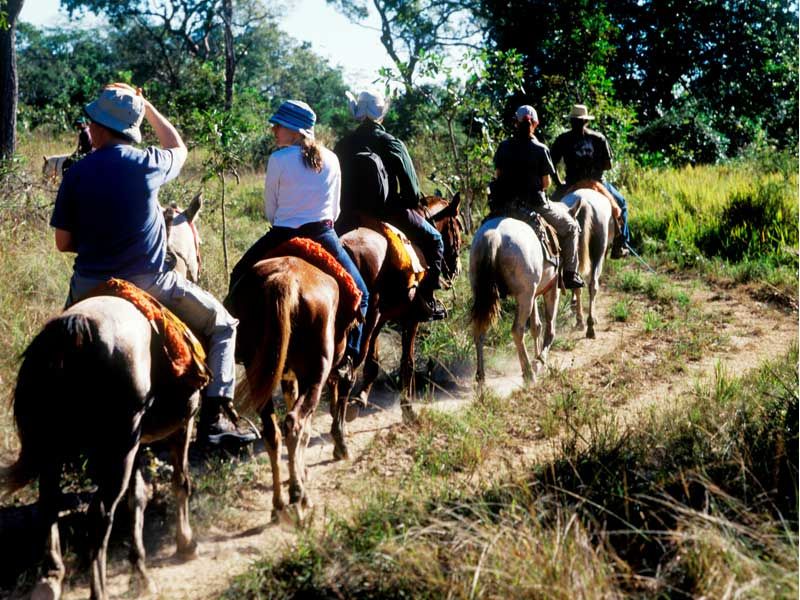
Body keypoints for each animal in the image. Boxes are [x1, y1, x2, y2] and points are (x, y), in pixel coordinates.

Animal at [1, 200, 206, 600]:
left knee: (49, 504)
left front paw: (140, 572)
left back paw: (51, 577)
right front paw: (185, 543)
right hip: (116, 446)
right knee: (99, 513)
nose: (197, 268)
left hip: (56, 446)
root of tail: (74, 330)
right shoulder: (181, 425)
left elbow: (138, 497)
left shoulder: (139, 444)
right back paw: (98, 590)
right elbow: (180, 481)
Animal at [222, 251, 354, 516]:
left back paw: (279, 503)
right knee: (295, 423)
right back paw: (298, 496)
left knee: (272, 432)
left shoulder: (288, 378)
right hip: (315, 374)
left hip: (258, 373)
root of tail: (284, 281)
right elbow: (310, 427)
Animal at [342, 195, 466, 424]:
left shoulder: (381, 318)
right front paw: (407, 409)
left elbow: (373, 363)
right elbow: (406, 363)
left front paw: (361, 398)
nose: (457, 268)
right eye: (458, 227)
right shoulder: (411, 318)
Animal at [472, 218, 560, 382]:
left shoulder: (534, 294)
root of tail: (494, 236)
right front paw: (539, 362)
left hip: (484, 297)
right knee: (517, 331)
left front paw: (538, 359)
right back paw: (529, 374)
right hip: (525, 297)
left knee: (479, 331)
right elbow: (549, 328)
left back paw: (481, 377)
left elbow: (536, 327)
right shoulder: (551, 287)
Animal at [560, 188, 616, 338]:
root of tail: (585, 201)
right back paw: (589, 325)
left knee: (578, 285)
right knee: (592, 285)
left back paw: (582, 322)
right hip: (598, 251)